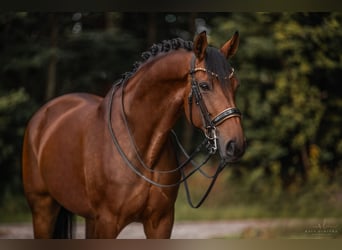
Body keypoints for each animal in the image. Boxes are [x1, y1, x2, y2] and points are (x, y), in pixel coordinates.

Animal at [22, 31, 246, 238]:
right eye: (204, 85)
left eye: (236, 85)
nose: (236, 145)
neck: (142, 150)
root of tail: (43, 115)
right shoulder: (107, 222)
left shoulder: (160, 223)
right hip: (43, 209)